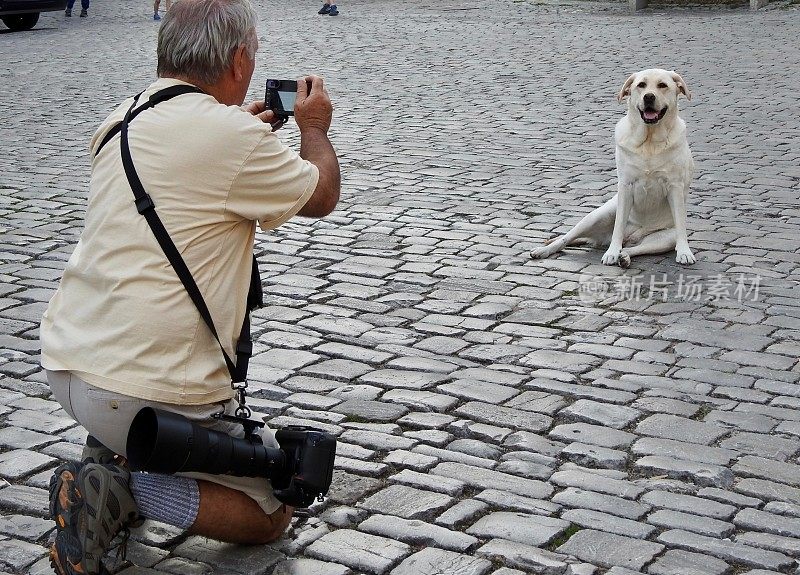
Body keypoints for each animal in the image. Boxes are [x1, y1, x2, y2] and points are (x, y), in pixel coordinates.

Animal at [532, 69, 692, 268]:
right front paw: (611, 253)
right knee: (566, 238)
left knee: (636, 247)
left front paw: (685, 252)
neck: (649, 143)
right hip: (597, 216)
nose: (649, 96)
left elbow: (681, 227)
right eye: (641, 85)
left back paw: (625, 256)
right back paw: (544, 250)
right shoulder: (626, 186)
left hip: (664, 238)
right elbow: (618, 226)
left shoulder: (675, 187)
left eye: (662, 85)